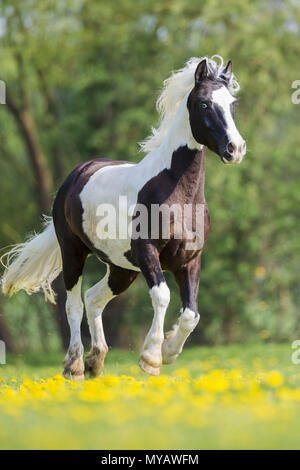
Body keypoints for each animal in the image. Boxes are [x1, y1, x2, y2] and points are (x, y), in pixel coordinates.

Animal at [1, 56, 246, 378]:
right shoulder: (147, 251)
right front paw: (151, 357)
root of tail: (77, 174)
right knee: (74, 304)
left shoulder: (190, 259)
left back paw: (96, 360)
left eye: (233, 103)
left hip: (121, 267)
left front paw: (168, 351)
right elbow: (162, 295)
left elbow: (191, 314)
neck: (177, 192)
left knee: (93, 299)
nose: (235, 149)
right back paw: (74, 365)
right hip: (73, 252)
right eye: (205, 103)